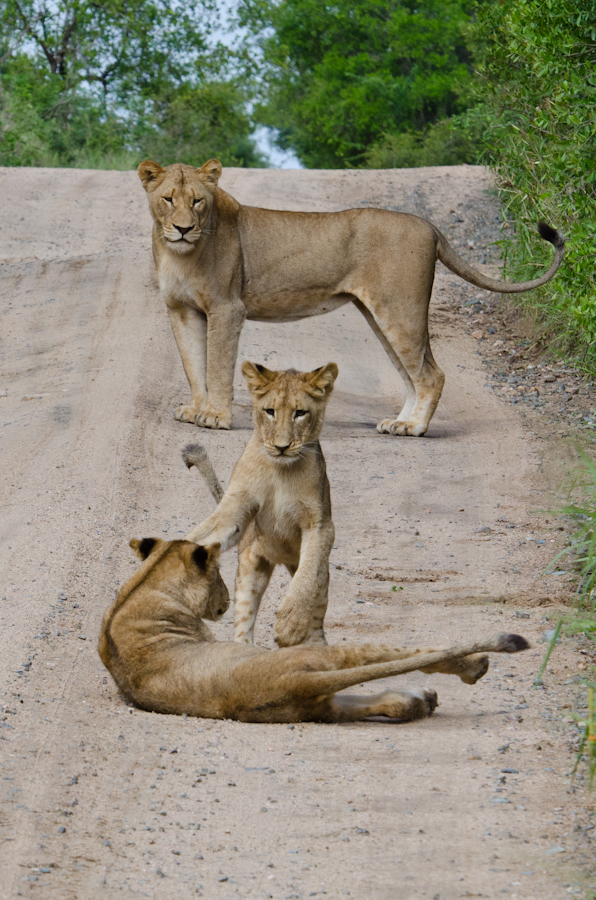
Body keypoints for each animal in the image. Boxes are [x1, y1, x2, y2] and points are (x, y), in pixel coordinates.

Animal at [98, 536, 530, 723]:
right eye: (220, 575)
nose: (224, 602)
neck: (147, 581)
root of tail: (285, 683)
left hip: (317, 703)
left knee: (371, 704)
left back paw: (420, 701)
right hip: (321, 656)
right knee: (400, 655)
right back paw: (472, 666)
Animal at [138, 158, 564, 437]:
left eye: (197, 201)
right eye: (167, 199)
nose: (182, 228)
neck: (181, 254)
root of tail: (428, 225)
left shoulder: (228, 308)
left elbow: (217, 366)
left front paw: (216, 417)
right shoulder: (181, 310)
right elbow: (193, 365)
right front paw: (195, 410)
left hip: (400, 311)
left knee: (431, 374)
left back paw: (415, 428)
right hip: (379, 316)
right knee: (412, 376)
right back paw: (399, 422)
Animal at [183, 361, 337, 649]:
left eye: (300, 413)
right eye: (270, 411)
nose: (282, 446)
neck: (280, 469)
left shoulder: (320, 524)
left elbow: (307, 575)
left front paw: (290, 625)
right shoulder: (236, 507)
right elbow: (201, 534)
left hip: (320, 582)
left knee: (316, 613)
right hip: (250, 567)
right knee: (244, 623)